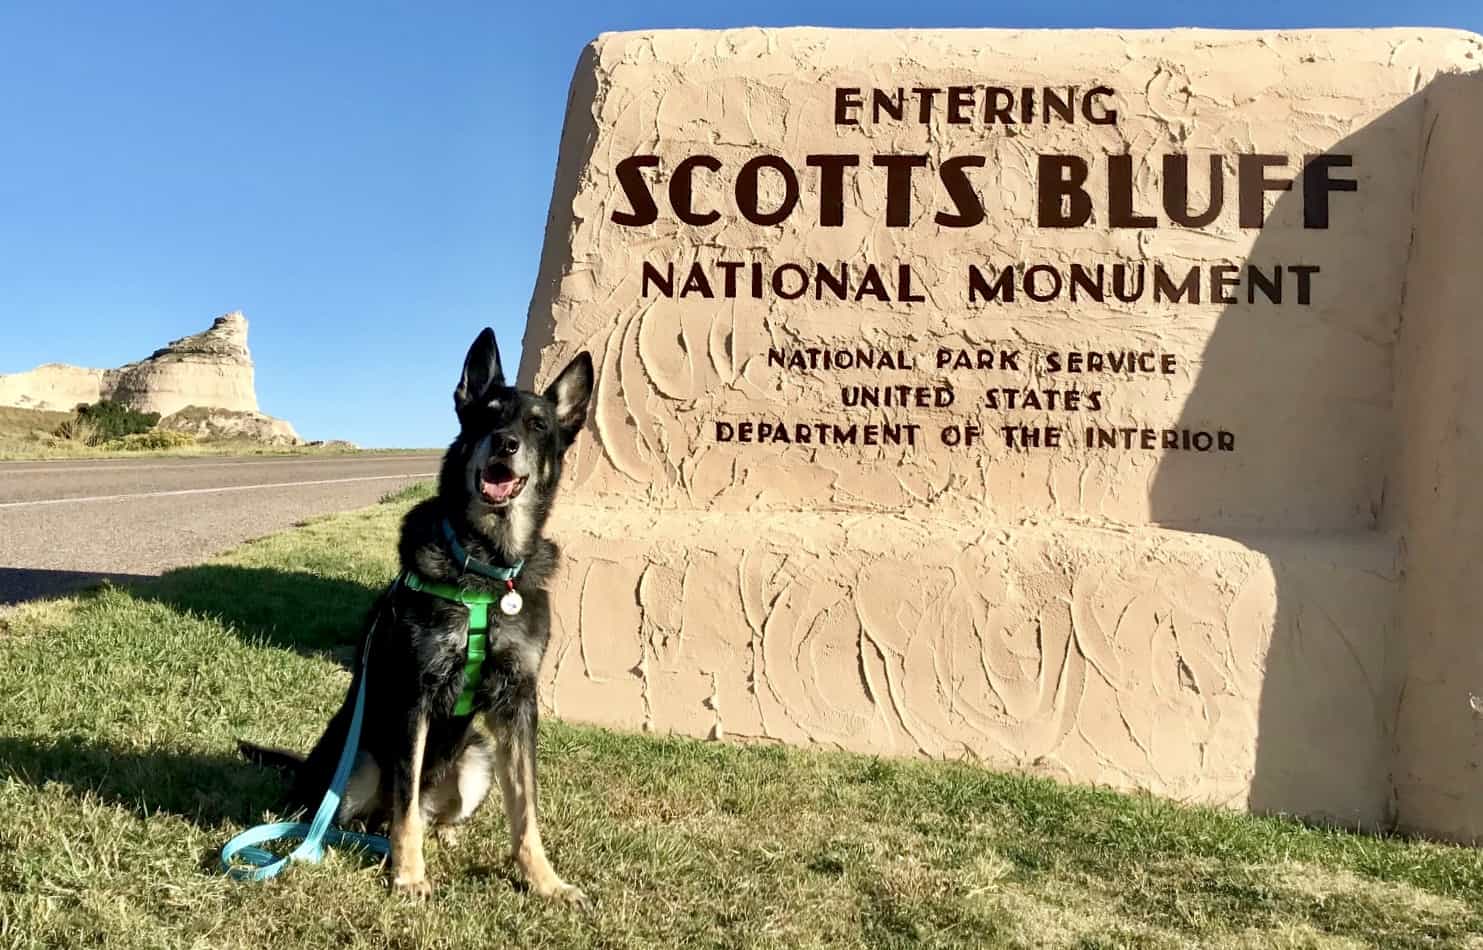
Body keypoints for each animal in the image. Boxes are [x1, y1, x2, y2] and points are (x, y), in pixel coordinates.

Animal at [240, 326, 593, 895]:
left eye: (538, 424)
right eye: (487, 416)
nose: (506, 443)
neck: (486, 566)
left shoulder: (518, 703)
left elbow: (526, 808)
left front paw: (543, 879)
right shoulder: (417, 695)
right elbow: (404, 804)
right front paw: (407, 876)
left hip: (477, 758)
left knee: (429, 814)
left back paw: (442, 836)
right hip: (360, 760)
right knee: (359, 816)